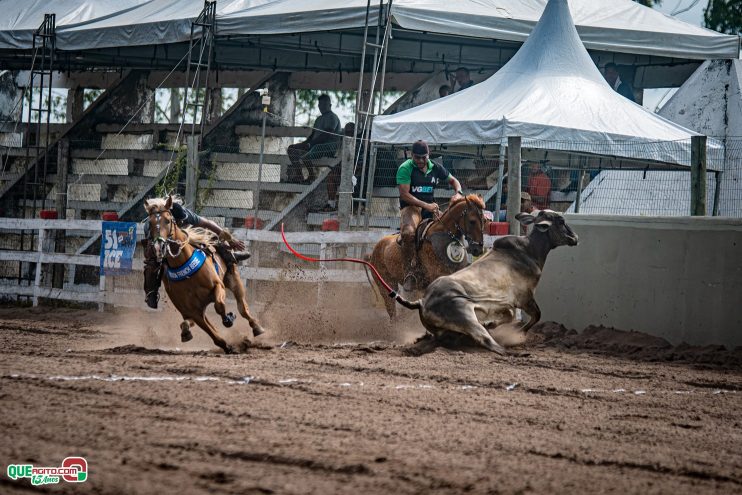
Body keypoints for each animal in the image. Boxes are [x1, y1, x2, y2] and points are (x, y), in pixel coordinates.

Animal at [144, 196, 266, 354]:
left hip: (234, 280)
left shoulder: (217, 286)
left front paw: (229, 318)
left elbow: (219, 306)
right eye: (151, 223)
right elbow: (211, 332)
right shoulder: (193, 311)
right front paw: (227, 346)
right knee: (193, 322)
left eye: (168, 220)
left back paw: (256, 327)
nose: (159, 246)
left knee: (243, 308)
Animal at [396, 211, 580, 354]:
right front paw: (519, 332)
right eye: (561, 221)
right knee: (487, 341)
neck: (529, 251)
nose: (575, 238)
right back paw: (513, 353)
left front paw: (491, 323)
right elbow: (536, 316)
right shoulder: (525, 298)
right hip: (465, 316)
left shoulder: (505, 304)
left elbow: (509, 315)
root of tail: (422, 301)